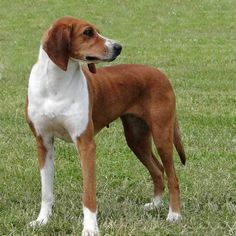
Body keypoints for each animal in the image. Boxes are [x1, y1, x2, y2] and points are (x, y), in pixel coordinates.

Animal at [25, 15, 186, 235]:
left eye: (97, 31)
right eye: (87, 32)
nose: (118, 47)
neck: (56, 85)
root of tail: (161, 74)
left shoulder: (86, 144)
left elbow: (88, 194)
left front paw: (90, 228)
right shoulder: (44, 143)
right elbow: (46, 191)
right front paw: (42, 220)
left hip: (162, 136)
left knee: (172, 176)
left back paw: (174, 214)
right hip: (136, 140)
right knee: (158, 170)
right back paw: (155, 204)